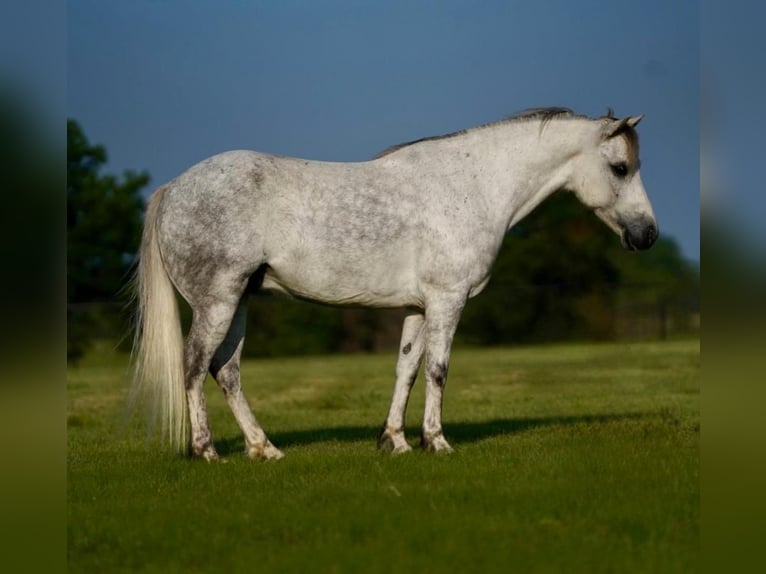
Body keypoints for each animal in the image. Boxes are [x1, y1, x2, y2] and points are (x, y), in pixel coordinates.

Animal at [132, 108, 660, 462]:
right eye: (620, 168)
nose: (648, 235)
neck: (473, 184)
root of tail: (174, 188)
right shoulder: (448, 300)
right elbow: (438, 370)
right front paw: (437, 441)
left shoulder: (419, 307)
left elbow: (406, 369)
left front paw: (396, 441)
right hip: (217, 303)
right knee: (194, 366)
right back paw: (207, 451)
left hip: (239, 302)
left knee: (227, 371)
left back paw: (265, 449)